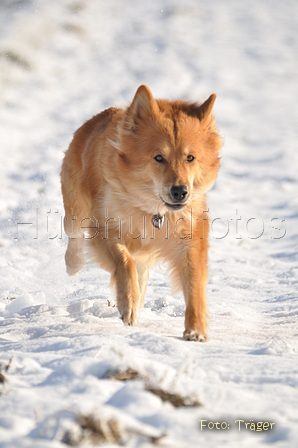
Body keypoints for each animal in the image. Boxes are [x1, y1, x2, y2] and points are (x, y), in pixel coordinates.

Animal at [60, 86, 221, 342]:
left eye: (190, 158)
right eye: (158, 158)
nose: (180, 192)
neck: (154, 211)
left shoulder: (190, 239)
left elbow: (194, 284)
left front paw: (196, 330)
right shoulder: (104, 228)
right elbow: (125, 262)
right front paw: (128, 304)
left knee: (142, 270)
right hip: (76, 208)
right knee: (74, 235)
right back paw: (74, 264)